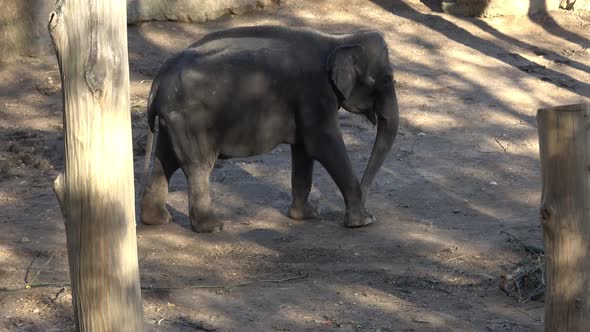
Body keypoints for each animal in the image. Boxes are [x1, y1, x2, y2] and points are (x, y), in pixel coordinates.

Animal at [140, 24, 400, 232]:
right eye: (386, 80)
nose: (367, 201)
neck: (338, 40)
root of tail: (158, 81)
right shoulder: (315, 94)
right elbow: (323, 144)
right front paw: (363, 221)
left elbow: (304, 150)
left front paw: (306, 215)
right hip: (191, 120)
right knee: (198, 166)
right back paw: (213, 227)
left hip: (173, 121)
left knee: (165, 161)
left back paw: (157, 220)